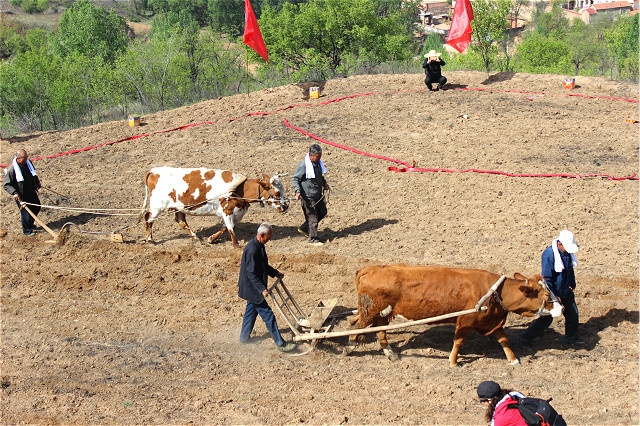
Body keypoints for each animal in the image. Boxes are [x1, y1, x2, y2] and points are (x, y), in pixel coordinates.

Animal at [142, 166, 290, 246]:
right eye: (277, 192)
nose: (285, 206)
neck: (239, 189)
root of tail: (154, 170)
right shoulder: (227, 210)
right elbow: (230, 228)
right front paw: (236, 245)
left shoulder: (235, 213)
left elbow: (226, 227)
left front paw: (212, 239)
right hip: (157, 205)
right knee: (149, 218)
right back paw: (150, 240)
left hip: (179, 207)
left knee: (181, 220)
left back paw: (195, 237)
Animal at [348, 262, 564, 366]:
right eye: (546, 294)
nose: (561, 308)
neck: (494, 292)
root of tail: (370, 268)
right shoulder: (465, 321)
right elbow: (458, 342)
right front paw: (453, 362)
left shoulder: (491, 321)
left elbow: (504, 340)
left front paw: (513, 360)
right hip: (370, 312)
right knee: (356, 328)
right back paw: (349, 348)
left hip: (382, 315)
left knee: (378, 332)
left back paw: (392, 355)